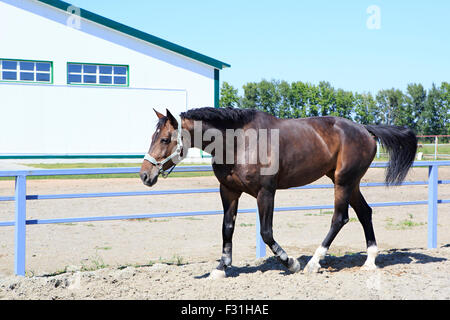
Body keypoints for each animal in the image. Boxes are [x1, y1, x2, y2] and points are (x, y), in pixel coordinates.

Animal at [139, 107, 416, 278]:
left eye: (164, 139)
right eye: (152, 137)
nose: (144, 175)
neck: (239, 142)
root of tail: (365, 130)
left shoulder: (266, 193)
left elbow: (266, 232)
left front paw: (291, 263)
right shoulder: (229, 191)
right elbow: (227, 229)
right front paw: (221, 268)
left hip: (343, 182)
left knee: (340, 218)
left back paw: (313, 263)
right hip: (350, 182)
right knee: (365, 213)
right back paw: (369, 262)